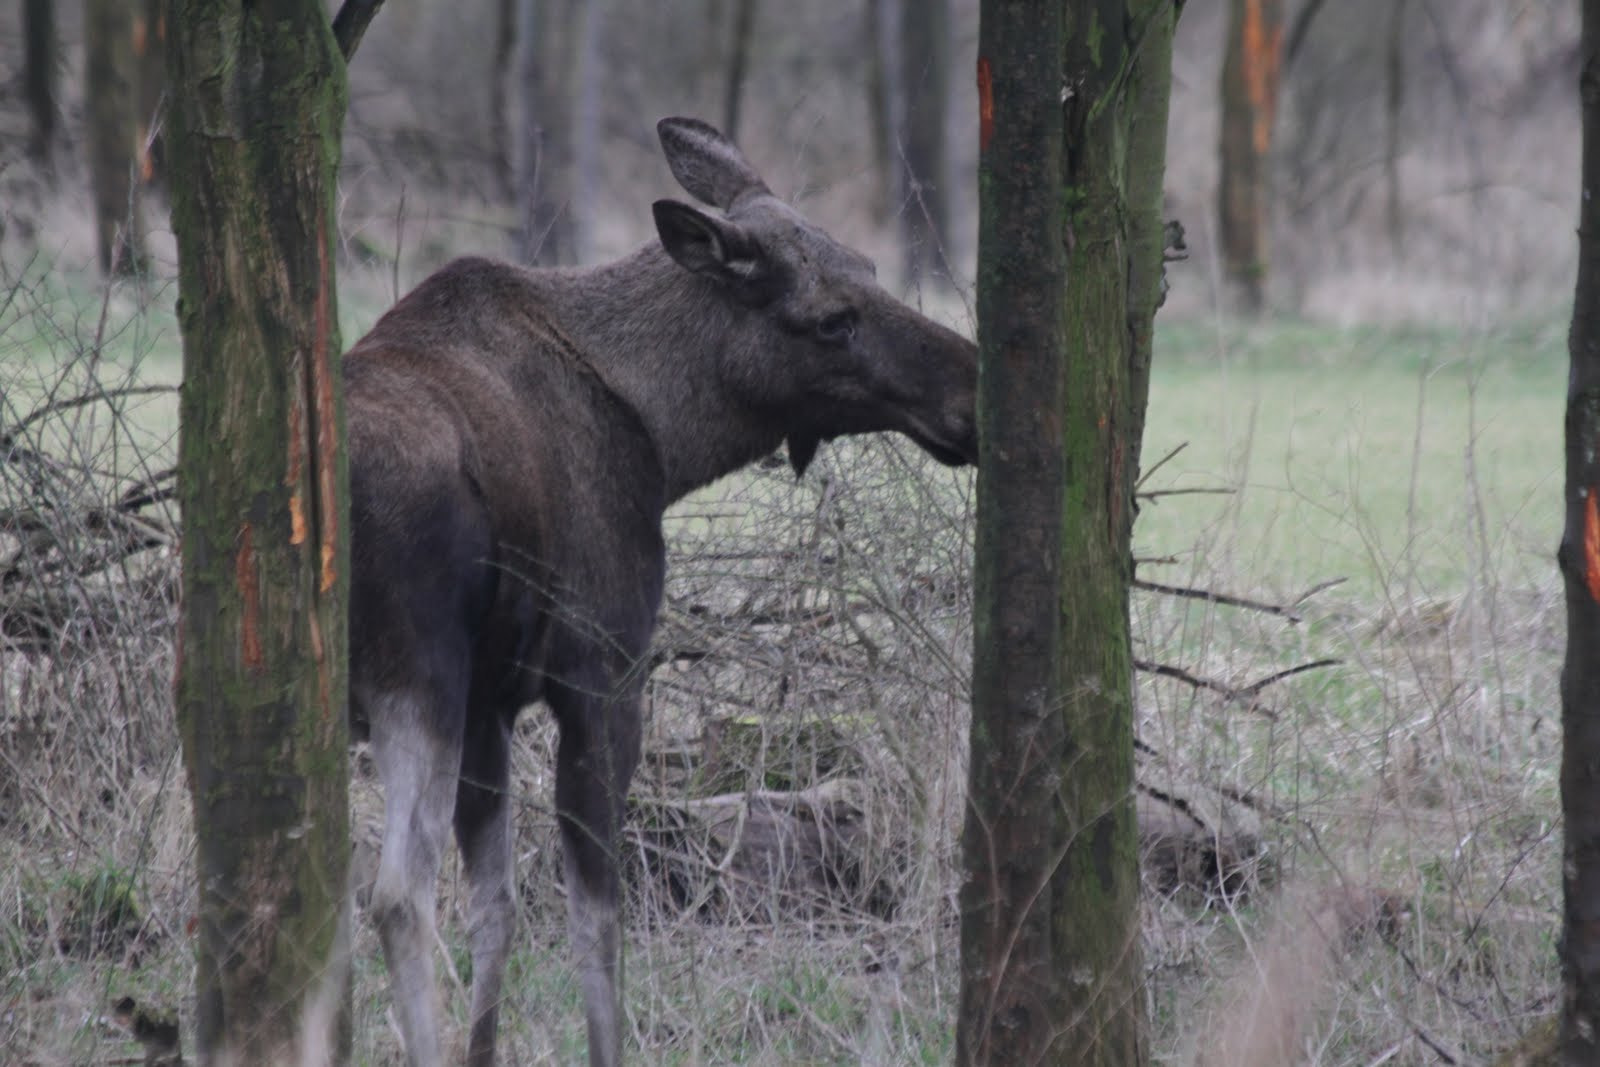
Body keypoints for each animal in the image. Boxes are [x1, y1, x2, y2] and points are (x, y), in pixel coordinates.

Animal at [345, 117, 977, 1066]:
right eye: (831, 319)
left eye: (869, 266)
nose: (973, 389)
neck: (670, 434)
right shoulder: (602, 670)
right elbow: (595, 924)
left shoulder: (494, 702)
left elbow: (497, 909)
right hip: (415, 679)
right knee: (395, 895)